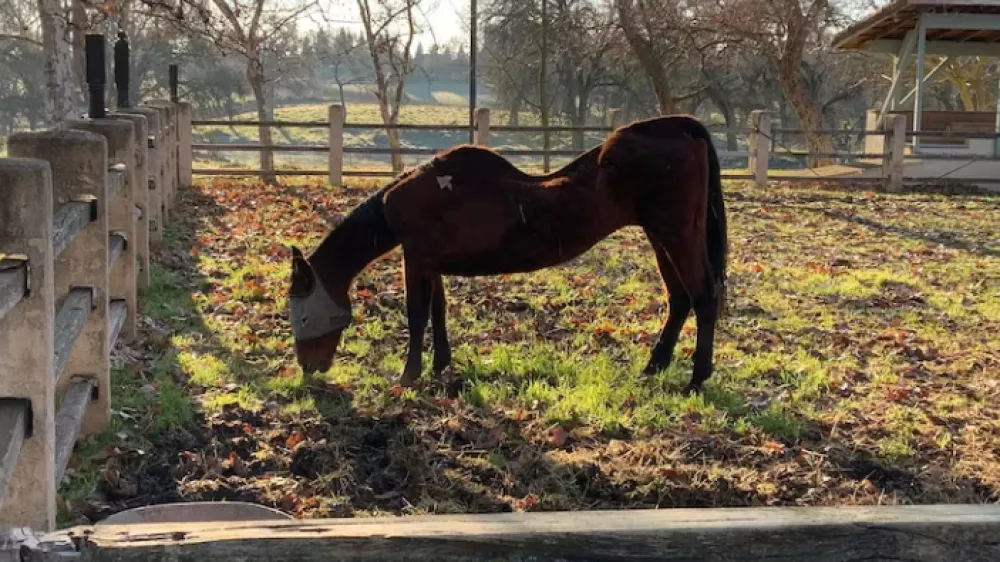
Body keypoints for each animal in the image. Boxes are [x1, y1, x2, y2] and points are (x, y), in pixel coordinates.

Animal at [288, 114, 728, 394]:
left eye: (304, 315)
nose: (308, 370)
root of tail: (680, 127)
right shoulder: (430, 262)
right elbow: (438, 311)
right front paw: (440, 365)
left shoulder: (414, 258)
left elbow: (416, 315)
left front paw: (408, 376)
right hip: (659, 237)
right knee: (680, 299)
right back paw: (654, 367)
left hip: (677, 234)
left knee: (704, 296)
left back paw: (696, 380)